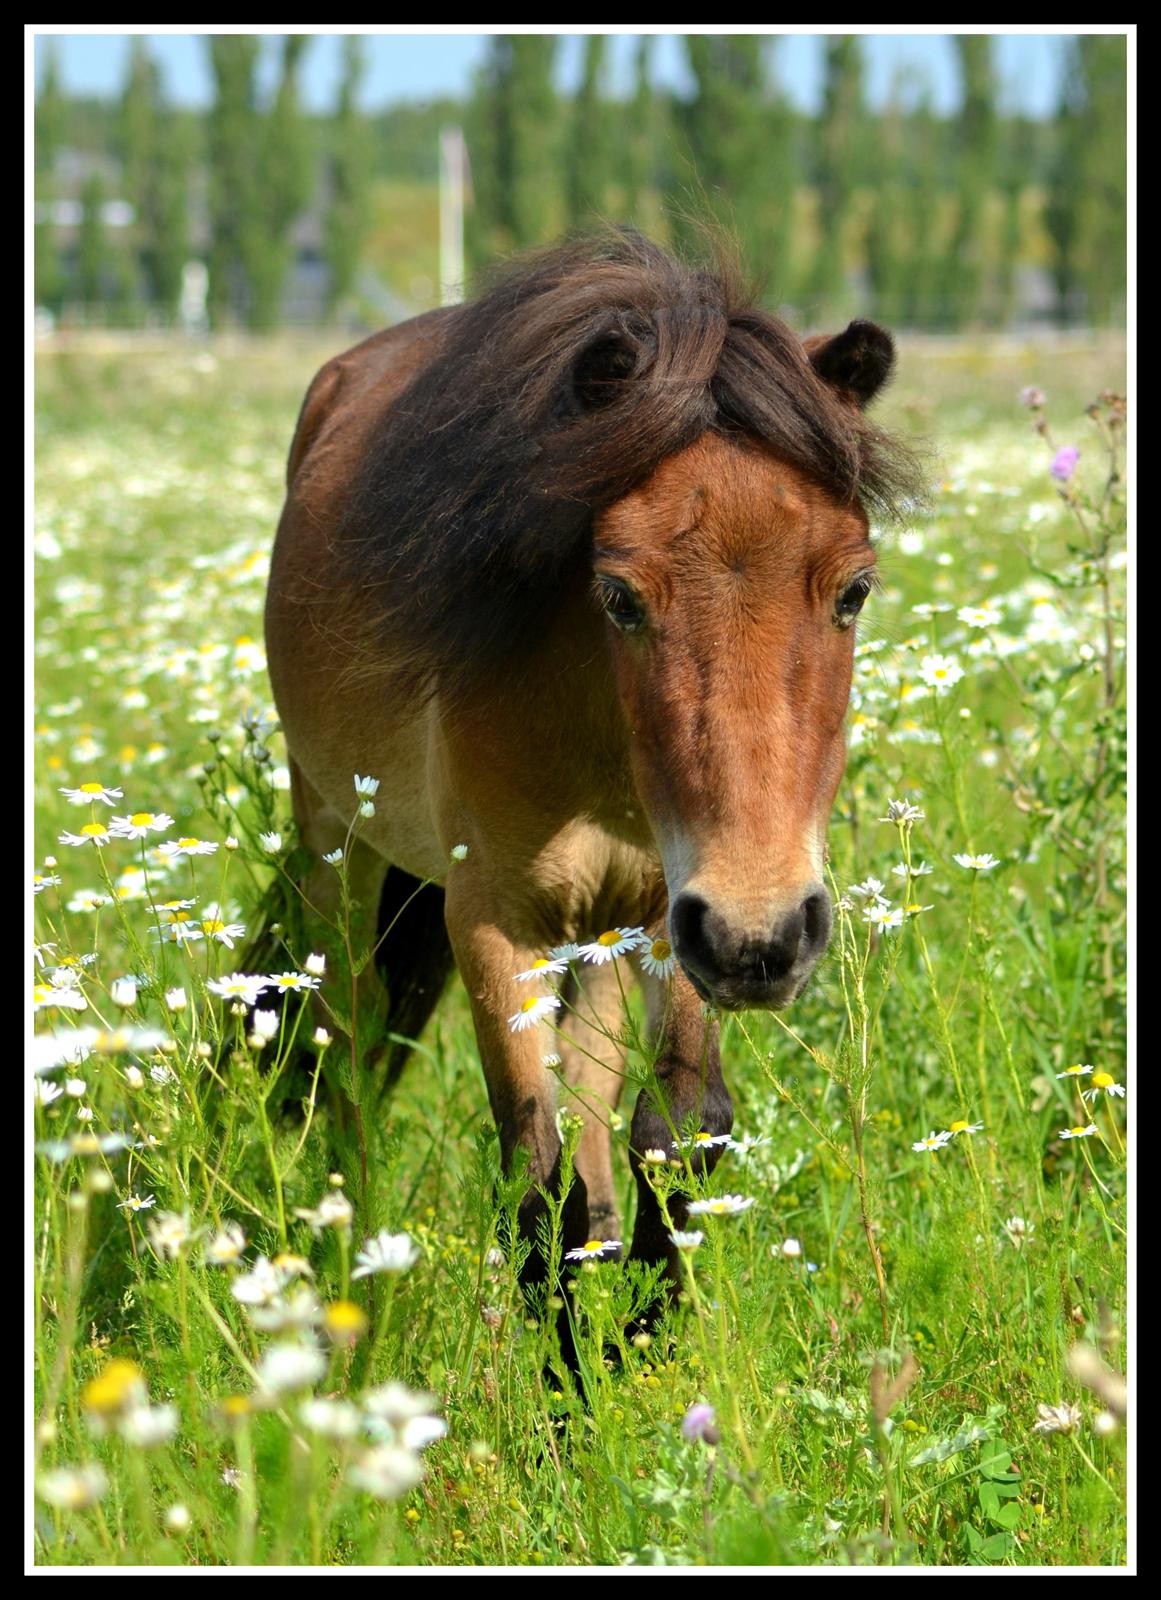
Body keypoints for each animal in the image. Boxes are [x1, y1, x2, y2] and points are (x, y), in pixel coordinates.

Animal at [268, 232, 921, 1356]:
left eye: (853, 588)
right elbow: (532, 1171)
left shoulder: (669, 914)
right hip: (339, 848)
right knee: (345, 1054)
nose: (762, 938)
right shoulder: (494, 920)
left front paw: (643, 1347)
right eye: (618, 593)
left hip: (608, 933)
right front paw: (569, 1381)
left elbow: (675, 1127)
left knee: (590, 1104)